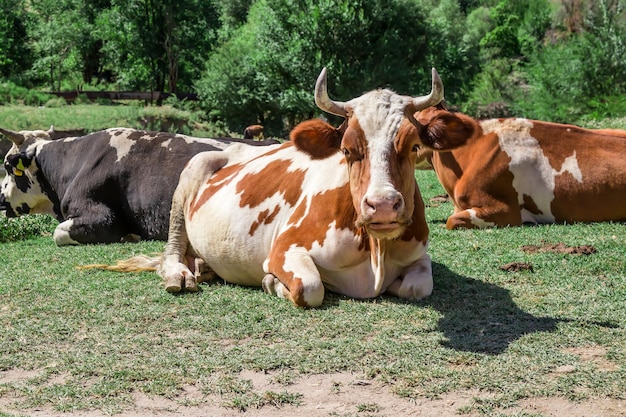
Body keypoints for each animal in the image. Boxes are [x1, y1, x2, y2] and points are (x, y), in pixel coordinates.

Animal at [85, 67, 470, 306]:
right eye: (347, 149)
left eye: (413, 146)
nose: (384, 205)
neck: (375, 251)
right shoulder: (285, 249)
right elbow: (311, 287)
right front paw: (272, 283)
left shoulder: (418, 256)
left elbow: (419, 286)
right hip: (190, 176)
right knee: (172, 252)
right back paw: (180, 275)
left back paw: (204, 267)